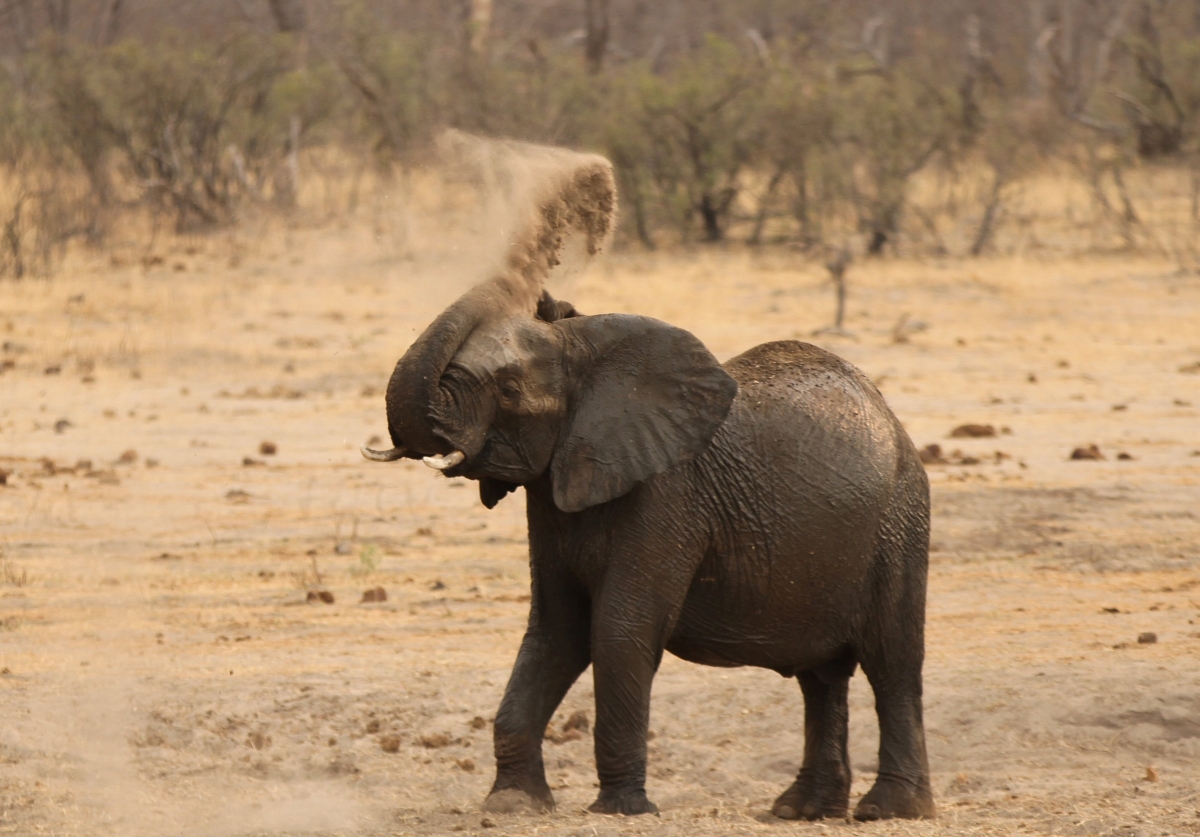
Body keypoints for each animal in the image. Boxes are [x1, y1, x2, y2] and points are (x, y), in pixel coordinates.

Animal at [364, 271, 936, 820]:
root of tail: (891, 419)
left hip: (900, 524)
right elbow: (555, 632)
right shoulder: (552, 498)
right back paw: (801, 810)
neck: (586, 354)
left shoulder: (668, 497)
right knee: (821, 678)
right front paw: (513, 804)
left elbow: (619, 630)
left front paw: (621, 808)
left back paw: (888, 810)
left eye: (507, 390)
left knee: (892, 663)